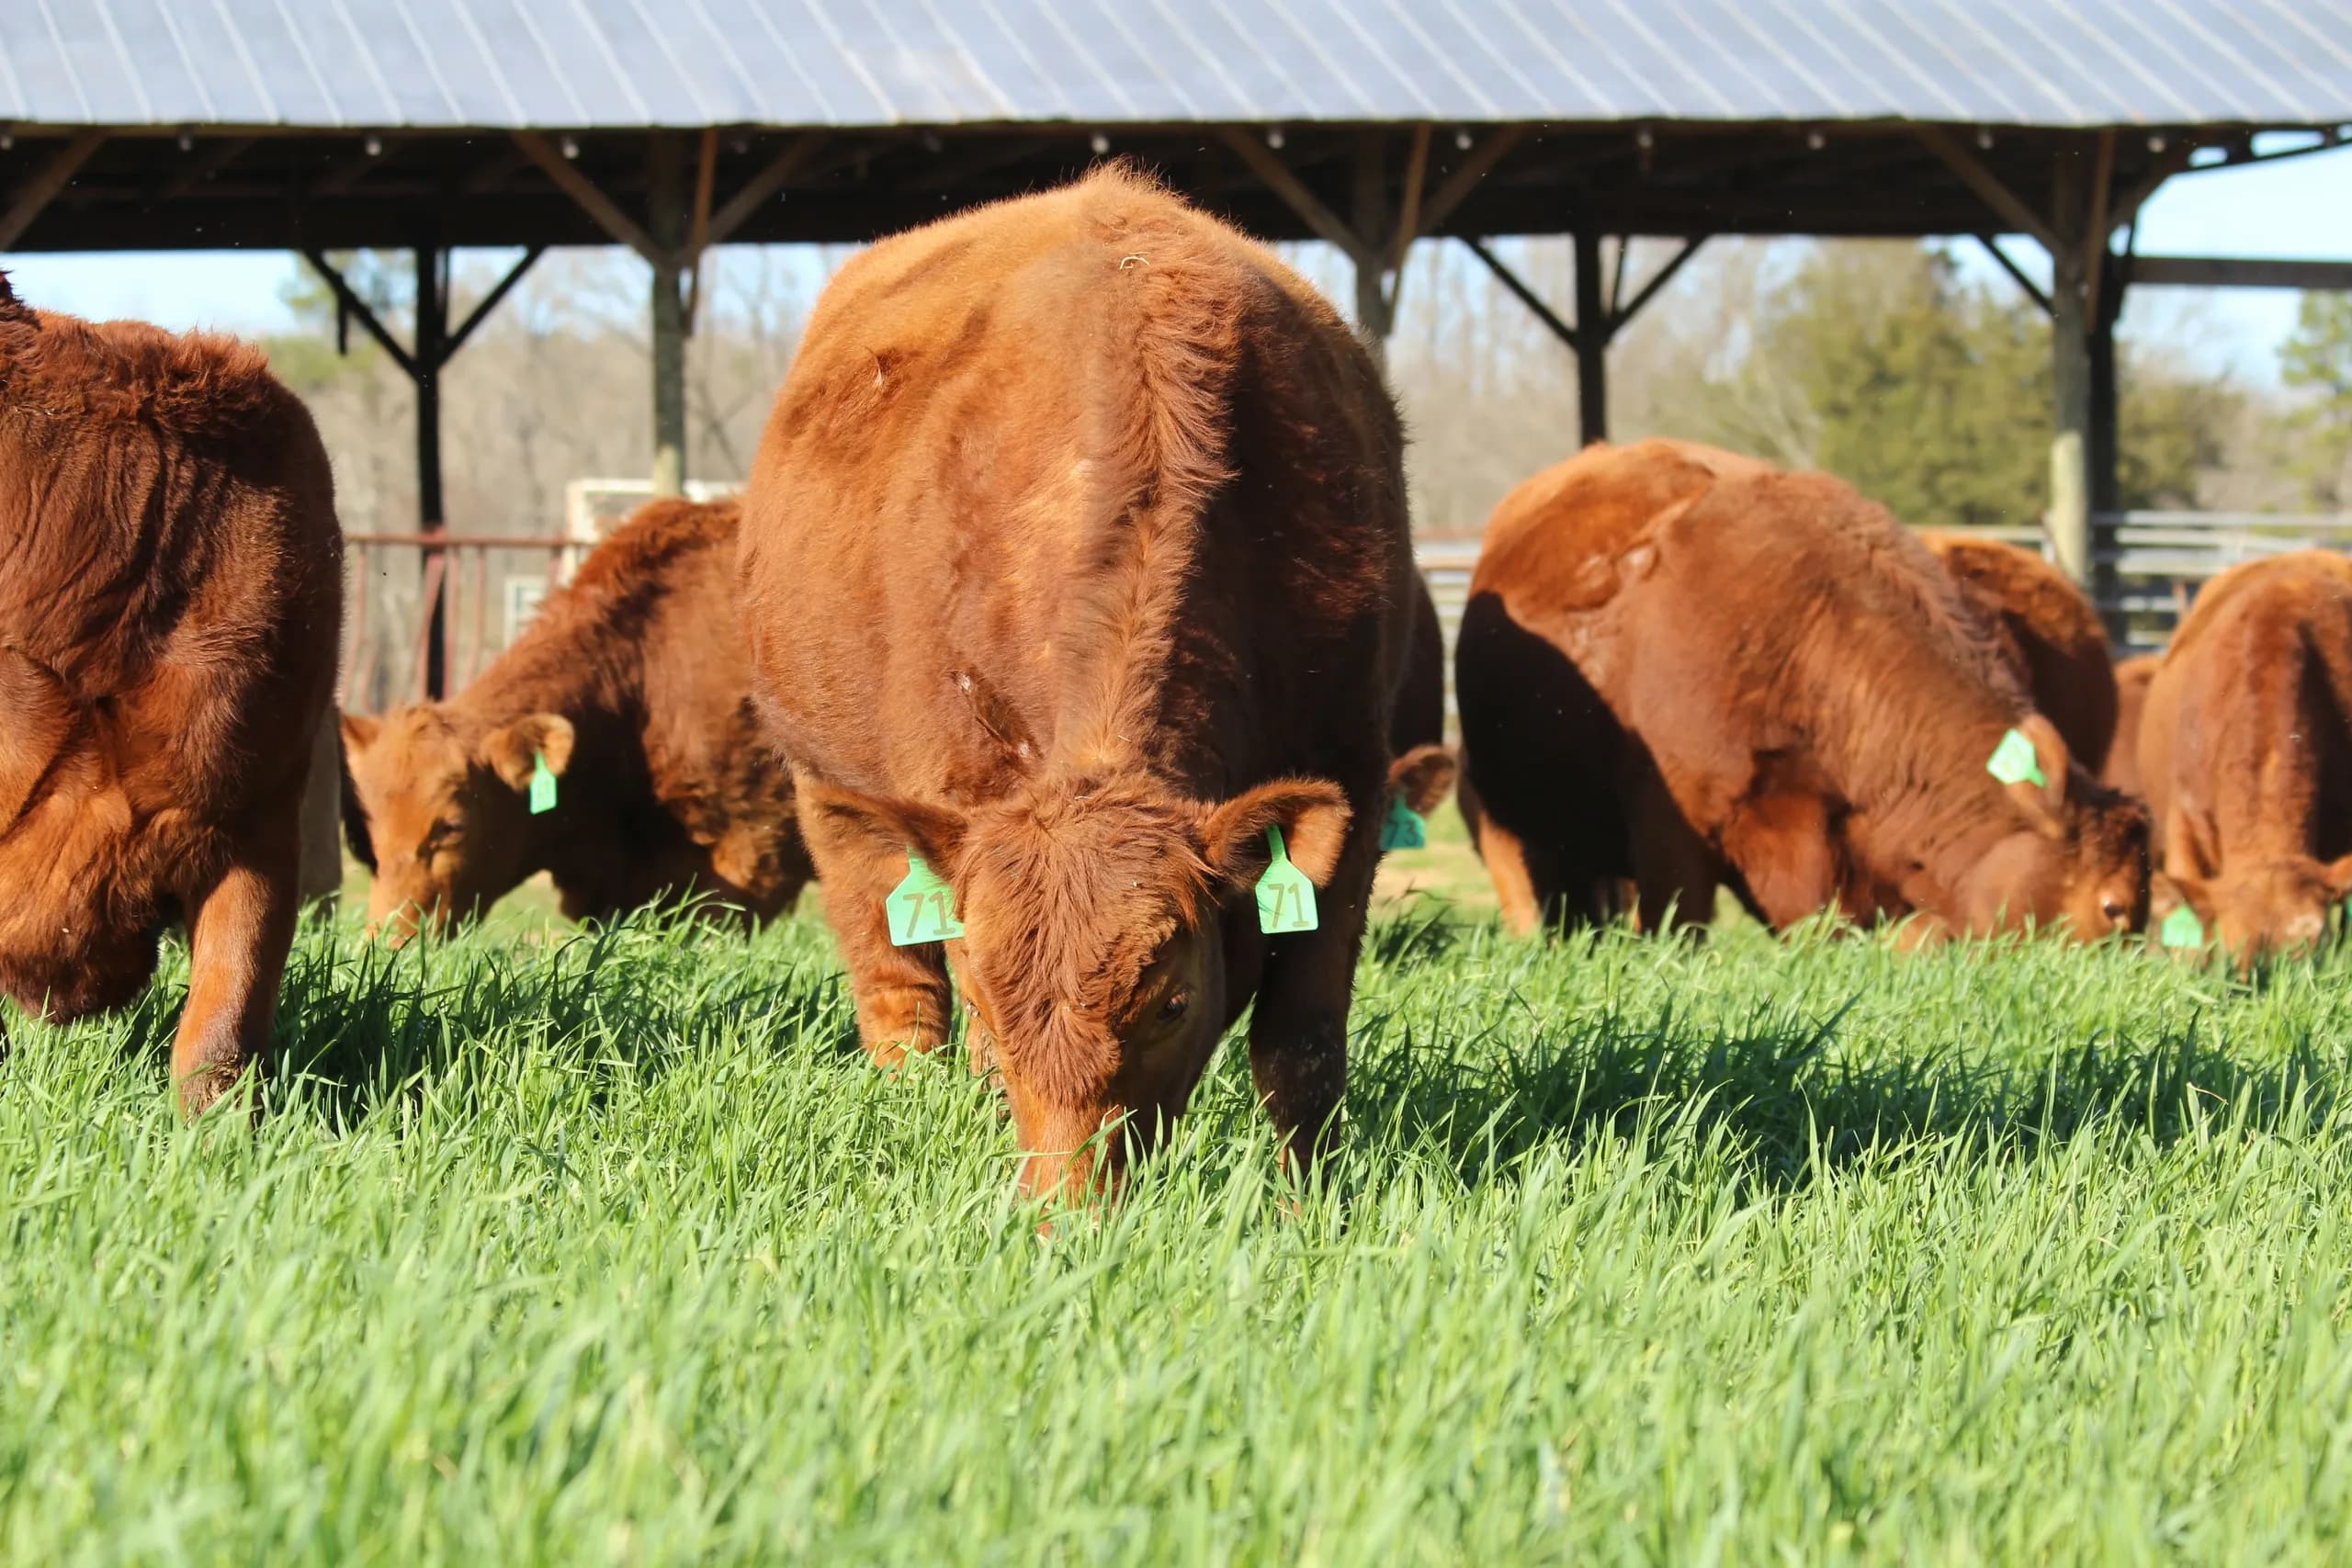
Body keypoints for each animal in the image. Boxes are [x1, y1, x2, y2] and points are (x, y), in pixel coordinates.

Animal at [738, 167, 1416, 1198]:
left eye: (1171, 1001)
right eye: (990, 992)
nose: (1068, 1213)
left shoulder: (1355, 776)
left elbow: (1300, 1051)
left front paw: (1314, 1208)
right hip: (831, 793)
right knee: (898, 1000)